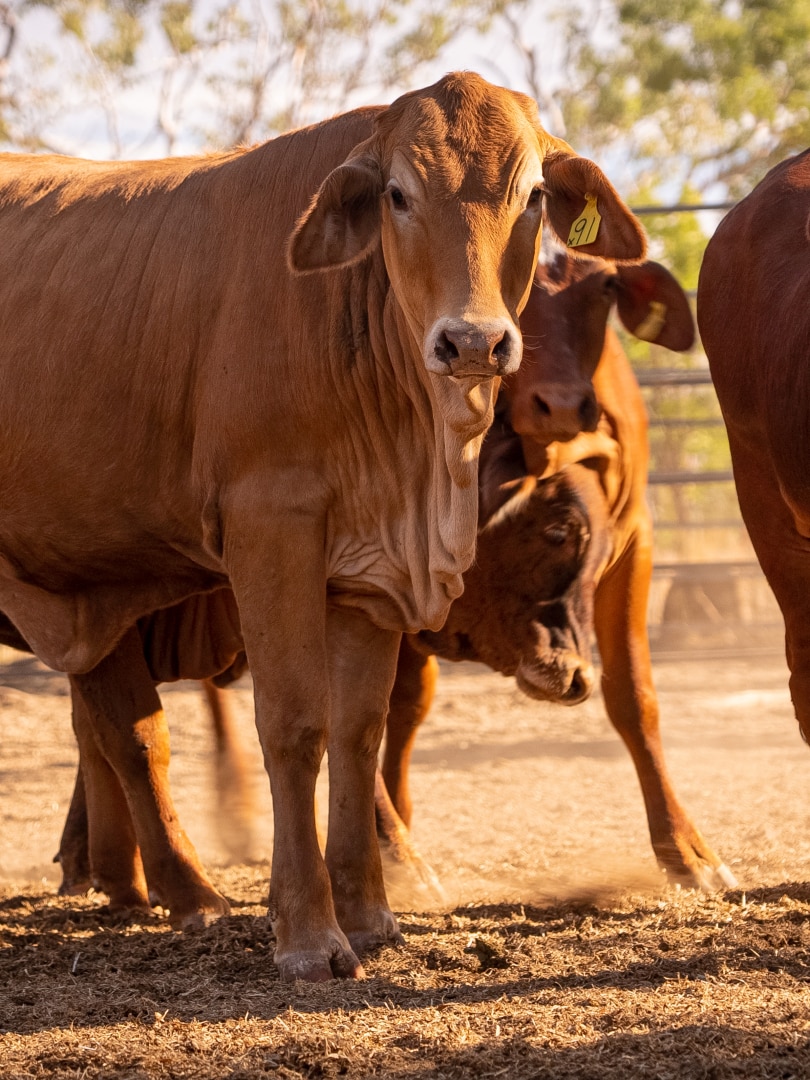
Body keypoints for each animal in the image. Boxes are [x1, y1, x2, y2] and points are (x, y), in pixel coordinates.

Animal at [0, 73, 652, 980]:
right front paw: (309, 933)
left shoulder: (369, 571)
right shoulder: (271, 532)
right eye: (398, 195)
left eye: (532, 197)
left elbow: (358, 732)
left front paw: (371, 913)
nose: (472, 341)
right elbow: (294, 726)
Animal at [380, 245, 734, 894]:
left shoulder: (635, 542)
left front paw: (687, 851)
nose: (575, 679)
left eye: (605, 288)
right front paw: (397, 859)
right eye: (557, 531)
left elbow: (635, 698)